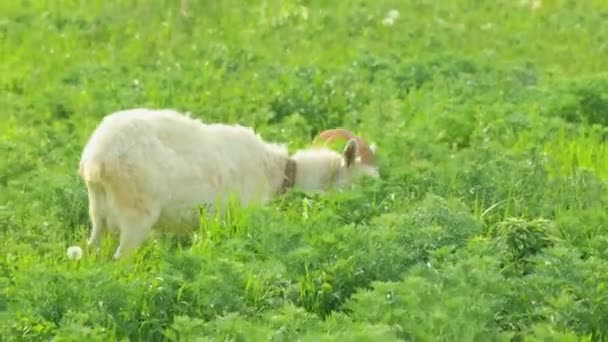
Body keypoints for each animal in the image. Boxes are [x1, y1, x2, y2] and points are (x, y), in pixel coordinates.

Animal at [78, 108, 378, 258]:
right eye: (363, 182)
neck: (277, 170)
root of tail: (98, 157)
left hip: (99, 212)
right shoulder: (239, 215)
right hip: (136, 214)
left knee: (92, 249)